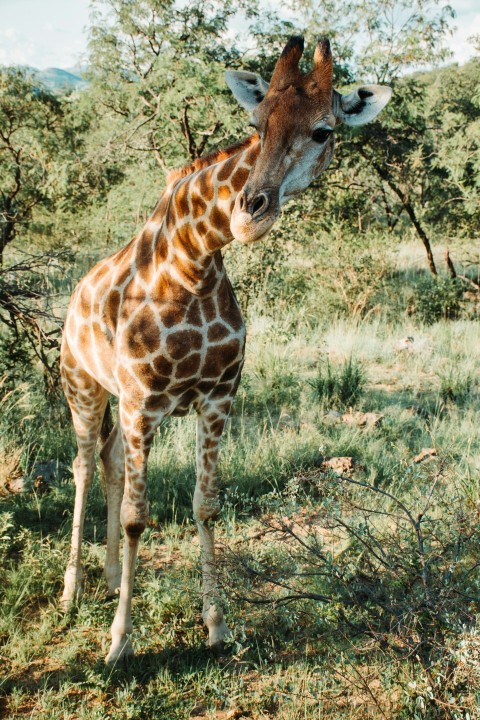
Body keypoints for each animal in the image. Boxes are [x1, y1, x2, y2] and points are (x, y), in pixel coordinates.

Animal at [60, 35, 391, 664]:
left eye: (323, 131)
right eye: (255, 125)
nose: (248, 213)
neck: (194, 259)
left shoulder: (215, 399)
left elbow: (205, 504)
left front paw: (216, 625)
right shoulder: (142, 402)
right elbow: (140, 516)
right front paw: (119, 642)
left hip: (117, 403)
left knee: (111, 464)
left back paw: (110, 577)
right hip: (83, 388)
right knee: (85, 464)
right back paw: (71, 594)